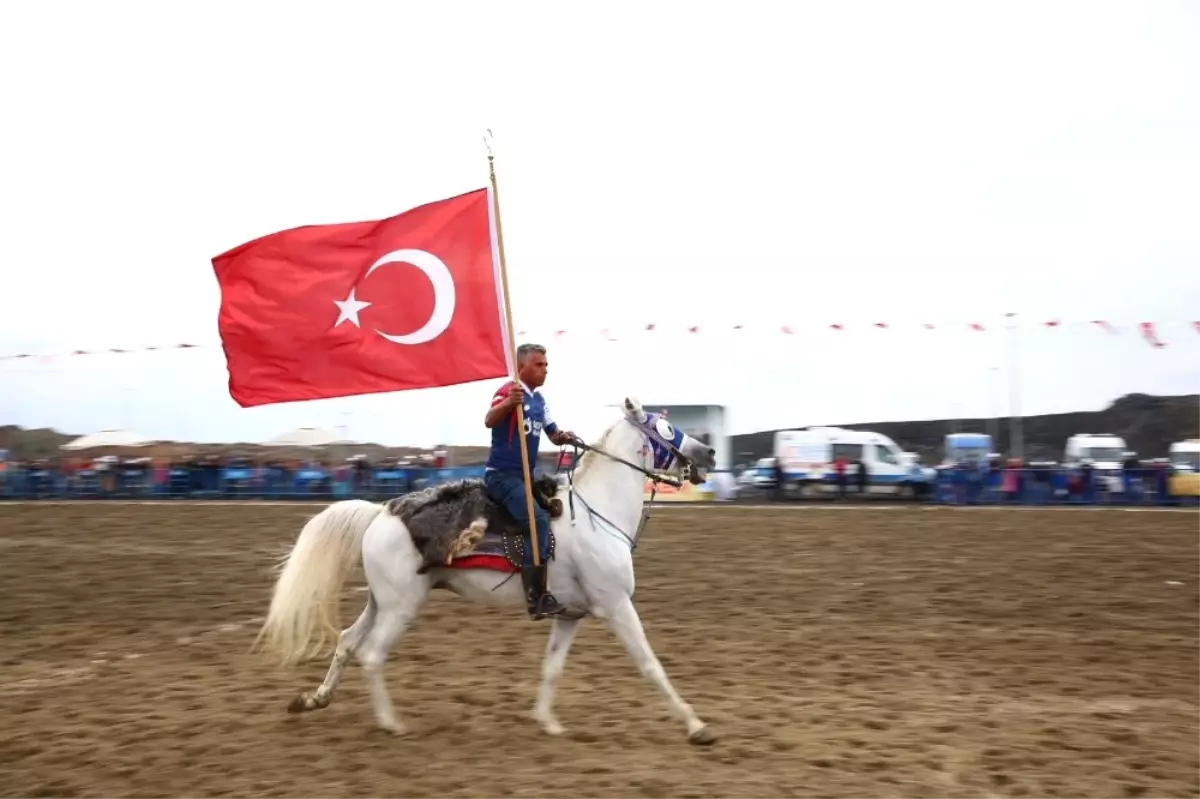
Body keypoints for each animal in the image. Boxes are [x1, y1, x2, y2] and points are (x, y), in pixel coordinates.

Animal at [256, 395, 715, 739]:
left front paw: (546, 722)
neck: (595, 513)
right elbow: (651, 665)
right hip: (402, 606)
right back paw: (391, 723)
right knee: (371, 655)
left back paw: (315, 699)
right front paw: (696, 726)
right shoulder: (618, 606)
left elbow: (552, 668)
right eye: (666, 427)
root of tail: (381, 512)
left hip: (379, 601)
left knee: (348, 642)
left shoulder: (570, 614)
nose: (708, 451)